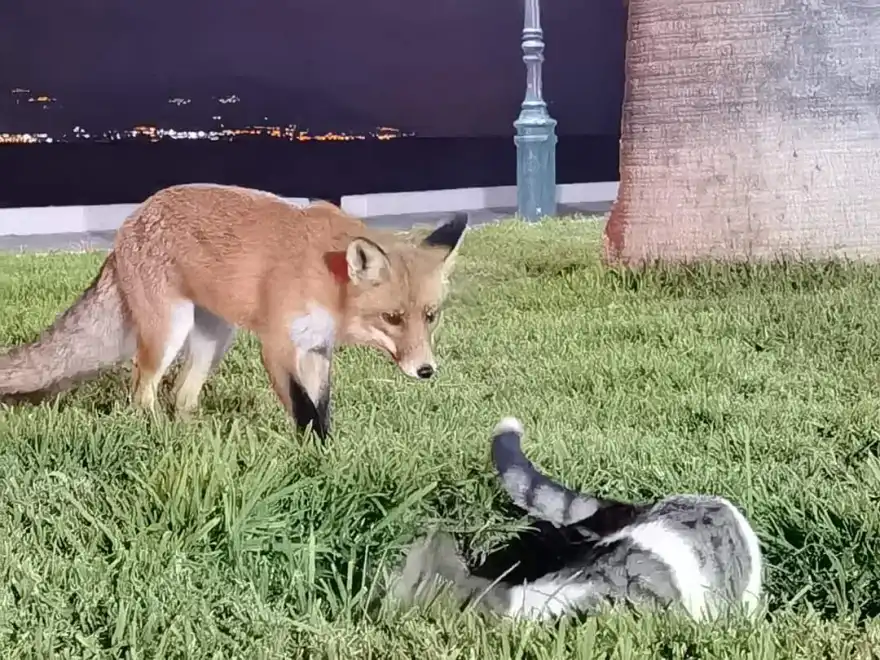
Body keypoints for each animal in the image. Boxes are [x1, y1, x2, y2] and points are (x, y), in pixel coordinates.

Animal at [0, 183, 468, 439]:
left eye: (430, 316)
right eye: (392, 318)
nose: (426, 370)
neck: (327, 281)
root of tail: (128, 224)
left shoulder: (317, 350)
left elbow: (322, 411)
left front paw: (328, 455)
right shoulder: (277, 345)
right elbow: (303, 410)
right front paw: (313, 464)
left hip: (214, 342)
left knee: (182, 397)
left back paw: (191, 438)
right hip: (169, 333)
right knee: (143, 390)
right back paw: (156, 434)